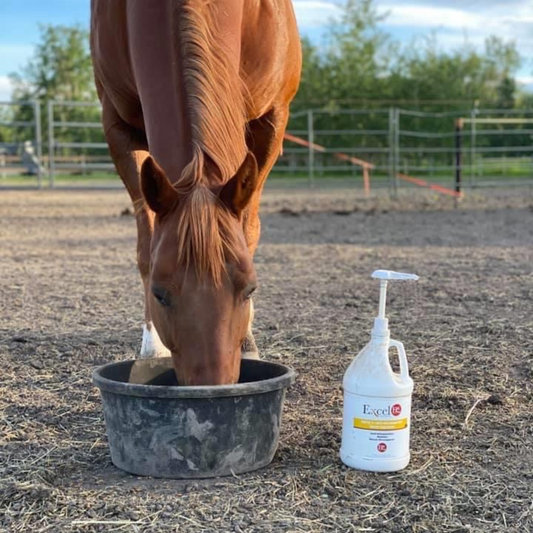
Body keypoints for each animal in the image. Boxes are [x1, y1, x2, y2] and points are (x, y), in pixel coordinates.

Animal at [90, 0, 302, 382]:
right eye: (159, 294)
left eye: (250, 288)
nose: (210, 385)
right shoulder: (117, 127)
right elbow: (146, 246)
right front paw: (151, 347)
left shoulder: (273, 120)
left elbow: (249, 230)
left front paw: (249, 344)